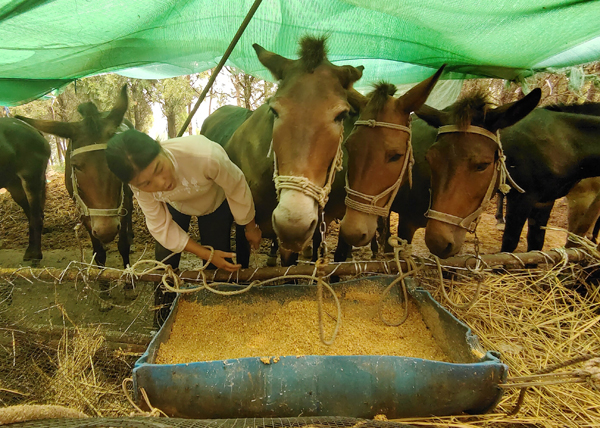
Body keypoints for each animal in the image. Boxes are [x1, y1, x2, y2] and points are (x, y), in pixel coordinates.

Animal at [16, 86, 134, 268]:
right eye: (75, 166)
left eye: (117, 160)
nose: (105, 230)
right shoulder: (83, 209)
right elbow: (99, 254)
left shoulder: (124, 201)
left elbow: (123, 246)